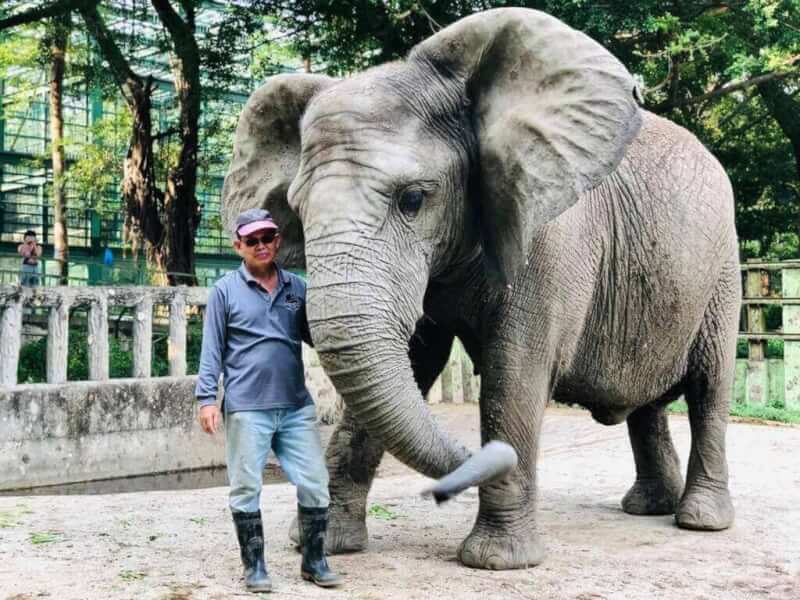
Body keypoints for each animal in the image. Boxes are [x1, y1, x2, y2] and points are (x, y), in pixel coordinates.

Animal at [219, 9, 736, 572]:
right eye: (298, 208)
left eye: (414, 199)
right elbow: (411, 360)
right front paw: (326, 543)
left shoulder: (548, 232)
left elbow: (516, 369)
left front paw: (497, 561)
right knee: (648, 404)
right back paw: (647, 508)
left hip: (724, 270)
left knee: (710, 387)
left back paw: (700, 521)